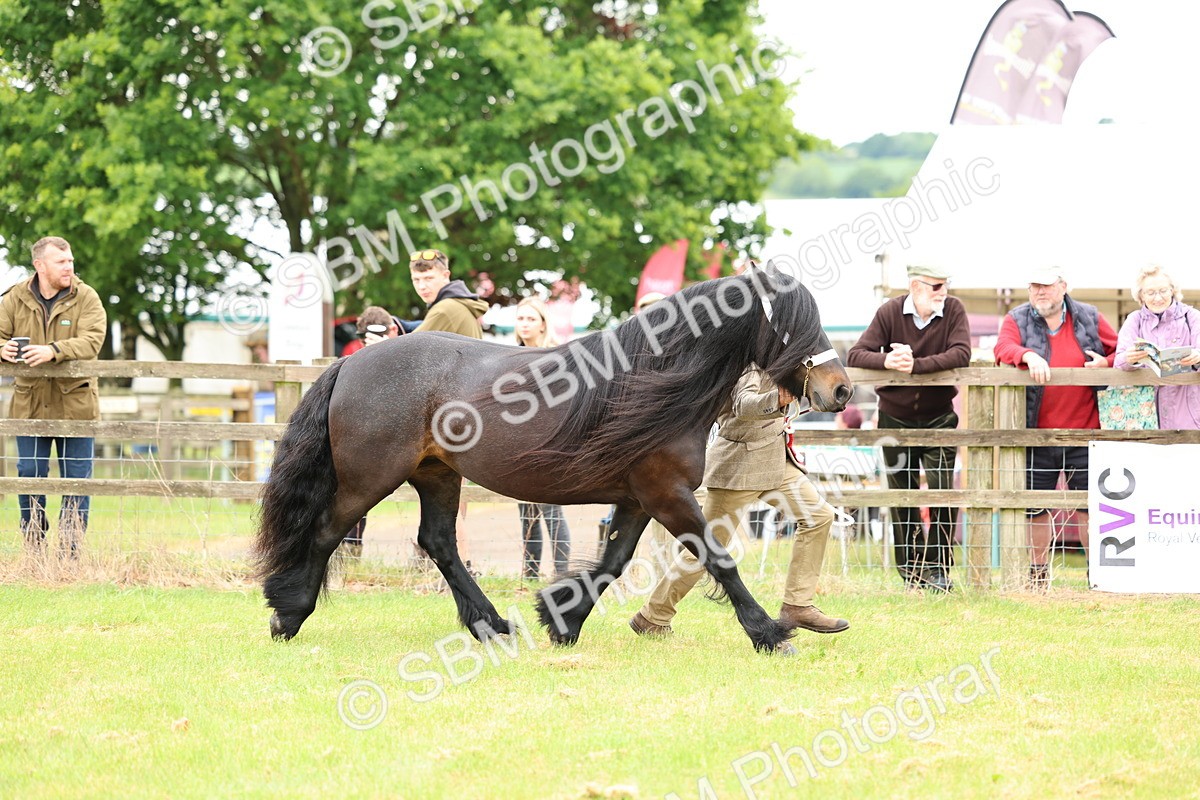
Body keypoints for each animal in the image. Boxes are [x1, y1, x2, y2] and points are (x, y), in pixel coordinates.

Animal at [254, 264, 853, 653]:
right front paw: (769, 633)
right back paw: (289, 612)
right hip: (370, 478)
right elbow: (717, 557)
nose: (842, 390)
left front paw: (562, 620)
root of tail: (350, 364)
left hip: (437, 475)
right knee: (328, 530)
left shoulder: (639, 497)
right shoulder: (666, 494)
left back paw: (492, 626)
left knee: (439, 542)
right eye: (792, 325)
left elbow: (614, 562)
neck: (652, 381)